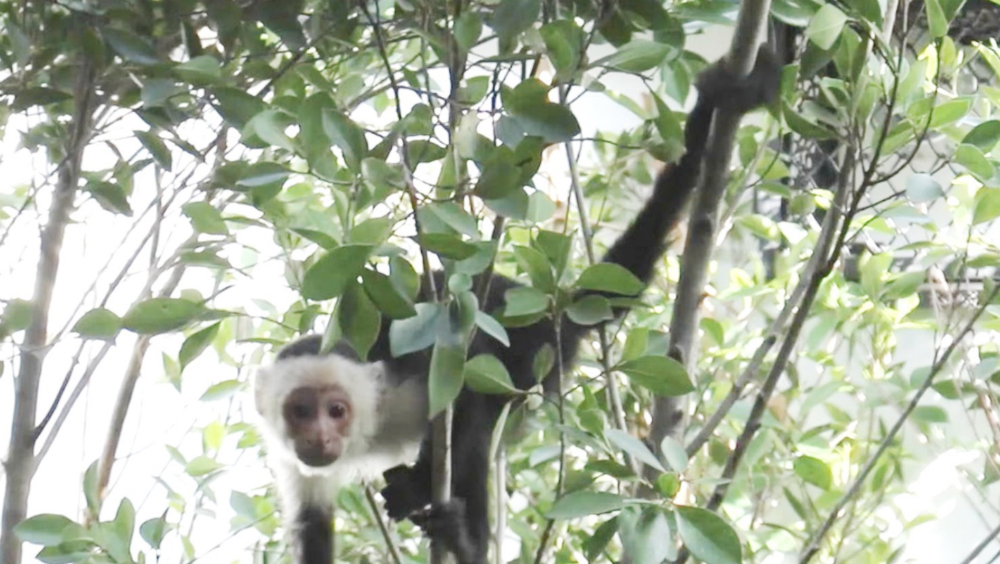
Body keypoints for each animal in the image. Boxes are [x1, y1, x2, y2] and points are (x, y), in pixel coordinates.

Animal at [252, 47, 780, 564]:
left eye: (336, 410)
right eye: (301, 411)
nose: (319, 438)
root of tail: (546, 308)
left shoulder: (404, 381)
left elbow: (466, 397)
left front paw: (440, 505)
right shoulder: (287, 457)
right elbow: (312, 526)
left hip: (532, 357)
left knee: (482, 415)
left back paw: (462, 537)